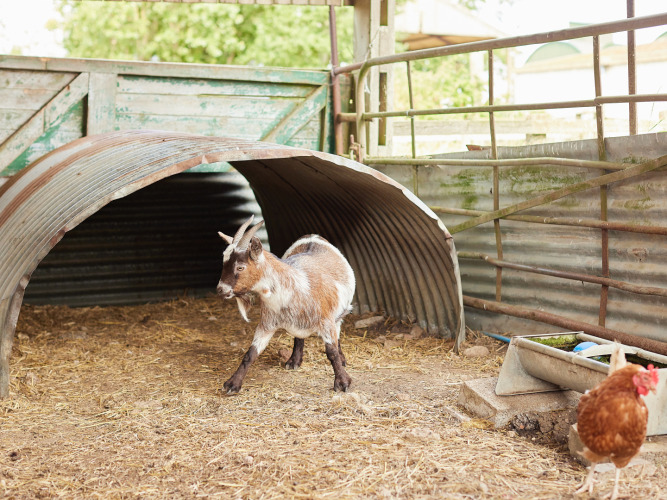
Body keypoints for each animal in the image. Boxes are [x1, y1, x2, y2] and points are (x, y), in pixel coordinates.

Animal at [216, 215, 355, 394]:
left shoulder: (326, 320)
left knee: (337, 331)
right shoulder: (267, 324)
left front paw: (343, 382)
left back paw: (341, 358)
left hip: (339, 313)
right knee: (299, 337)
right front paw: (233, 383)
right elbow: (250, 353)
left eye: (240, 267)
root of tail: (312, 236)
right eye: (224, 263)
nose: (221, 289)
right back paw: (293, 361)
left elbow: (331, 352)